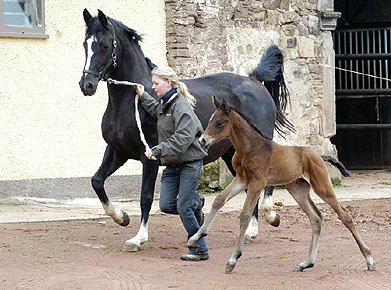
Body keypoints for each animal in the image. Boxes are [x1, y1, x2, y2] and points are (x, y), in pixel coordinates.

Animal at [79, 7, 292, 250]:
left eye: (105, 45)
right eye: (85, 44)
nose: (86, 85)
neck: (129, 102)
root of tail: (255, 81)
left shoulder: (149, 157)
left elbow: (145, 197)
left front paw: (139, 237)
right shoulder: (117, 151)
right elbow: (97, 181)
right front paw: (121, 217)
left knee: (264, 183)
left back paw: (269, 216)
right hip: (231, 153)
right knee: (250, 188)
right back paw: (250, 231)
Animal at [188, 97, 378, 274]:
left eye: (220, 122)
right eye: (210, 120)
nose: (203, 140)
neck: (250, 147)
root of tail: (319, 156)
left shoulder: (258, 182)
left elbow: (244, 215)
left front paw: (233, 260)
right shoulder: (242, 179)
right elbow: (219, 200)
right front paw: (195, 237)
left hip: (322, 186)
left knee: (344, 216)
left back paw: (369, 259)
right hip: (297, 190)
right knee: (316, 218)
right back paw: (306, 263)